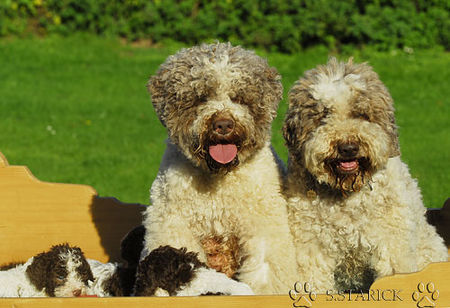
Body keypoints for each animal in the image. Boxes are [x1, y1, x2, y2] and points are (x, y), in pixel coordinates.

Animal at [139, 42, 298, 294]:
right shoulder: (172, 224)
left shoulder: (264, 229)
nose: (223, 124)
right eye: (201, 97)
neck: (218, 181)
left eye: (239, 97)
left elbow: (266, 274)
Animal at [284, 58, 448, 294]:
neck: (346, 193)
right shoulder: (312, 246)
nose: (348, 148)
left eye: (361, 114)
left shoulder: (392, 243)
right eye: (323, 115)